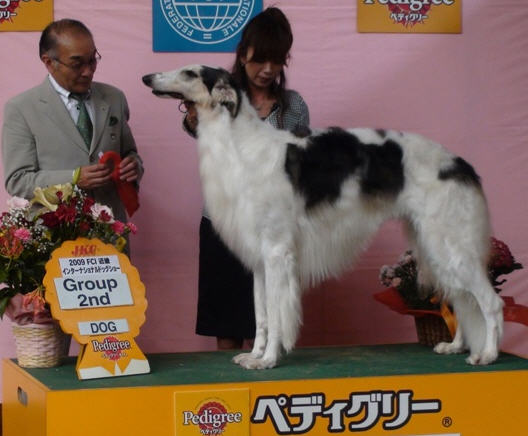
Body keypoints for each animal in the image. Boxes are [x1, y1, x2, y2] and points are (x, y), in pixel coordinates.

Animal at [143, 65, 504, 368]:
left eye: (189, 72)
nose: (147, 78)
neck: (242, 147)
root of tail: (461, 165)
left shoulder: (277, 251)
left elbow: (276, 314)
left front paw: (268, 359)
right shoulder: (259, 258)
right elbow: (261, 315)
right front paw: (254, 354)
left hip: (451, 243)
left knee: (489, 302)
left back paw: (487, 354)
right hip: (434, 245)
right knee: (462, 298)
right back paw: (456, 346)